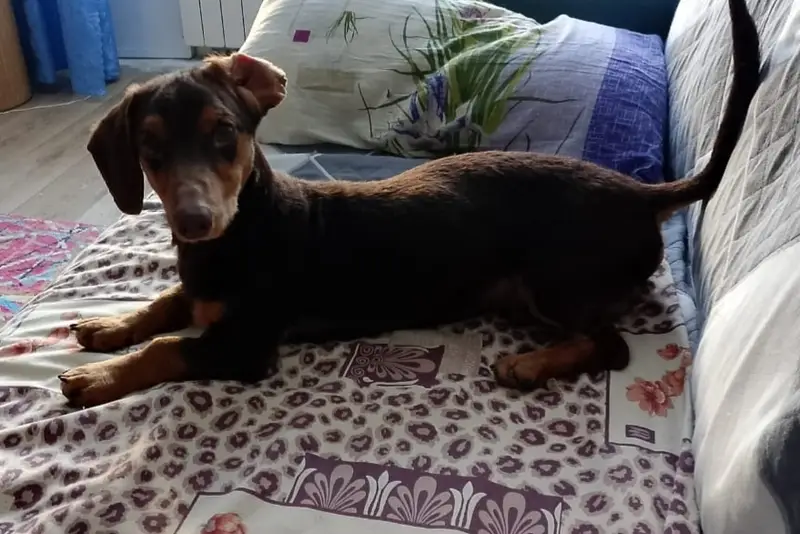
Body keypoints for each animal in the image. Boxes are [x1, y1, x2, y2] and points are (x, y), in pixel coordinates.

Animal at [58, 0, 760, 407]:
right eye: (150, 150)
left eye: (224, 134)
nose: (195, 220)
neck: (239, 233)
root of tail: (641, 194)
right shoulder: (199, 291)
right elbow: (162, 305)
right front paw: (108, 329)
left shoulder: (247, 345)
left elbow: (167, 347)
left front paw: (97, 379)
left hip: (556, 280)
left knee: (611, 346)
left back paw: (531, 365)